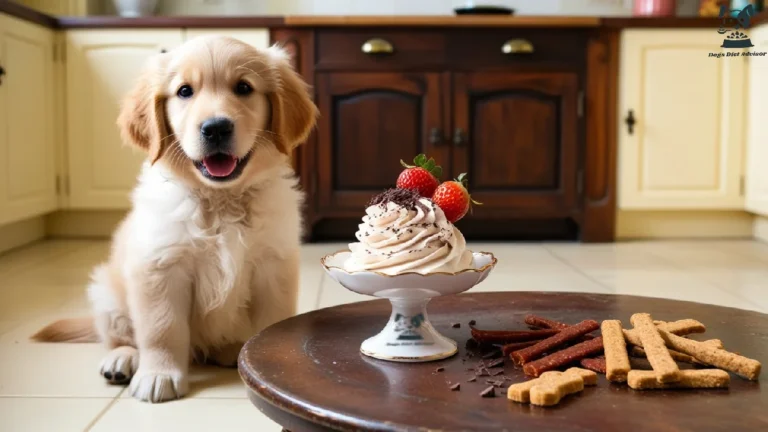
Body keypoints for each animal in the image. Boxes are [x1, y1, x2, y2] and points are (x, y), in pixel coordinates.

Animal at [33, 35, 318, 404]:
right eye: (184, 91)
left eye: (244, 87)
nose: (216, 128)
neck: (220, 200)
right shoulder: (160, 266)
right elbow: (162, 328)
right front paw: (159, 375)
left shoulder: (273, 265)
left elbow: (272, 322)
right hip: (106, 292)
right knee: (119, 337)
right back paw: (123, 360)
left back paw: (231, 350)